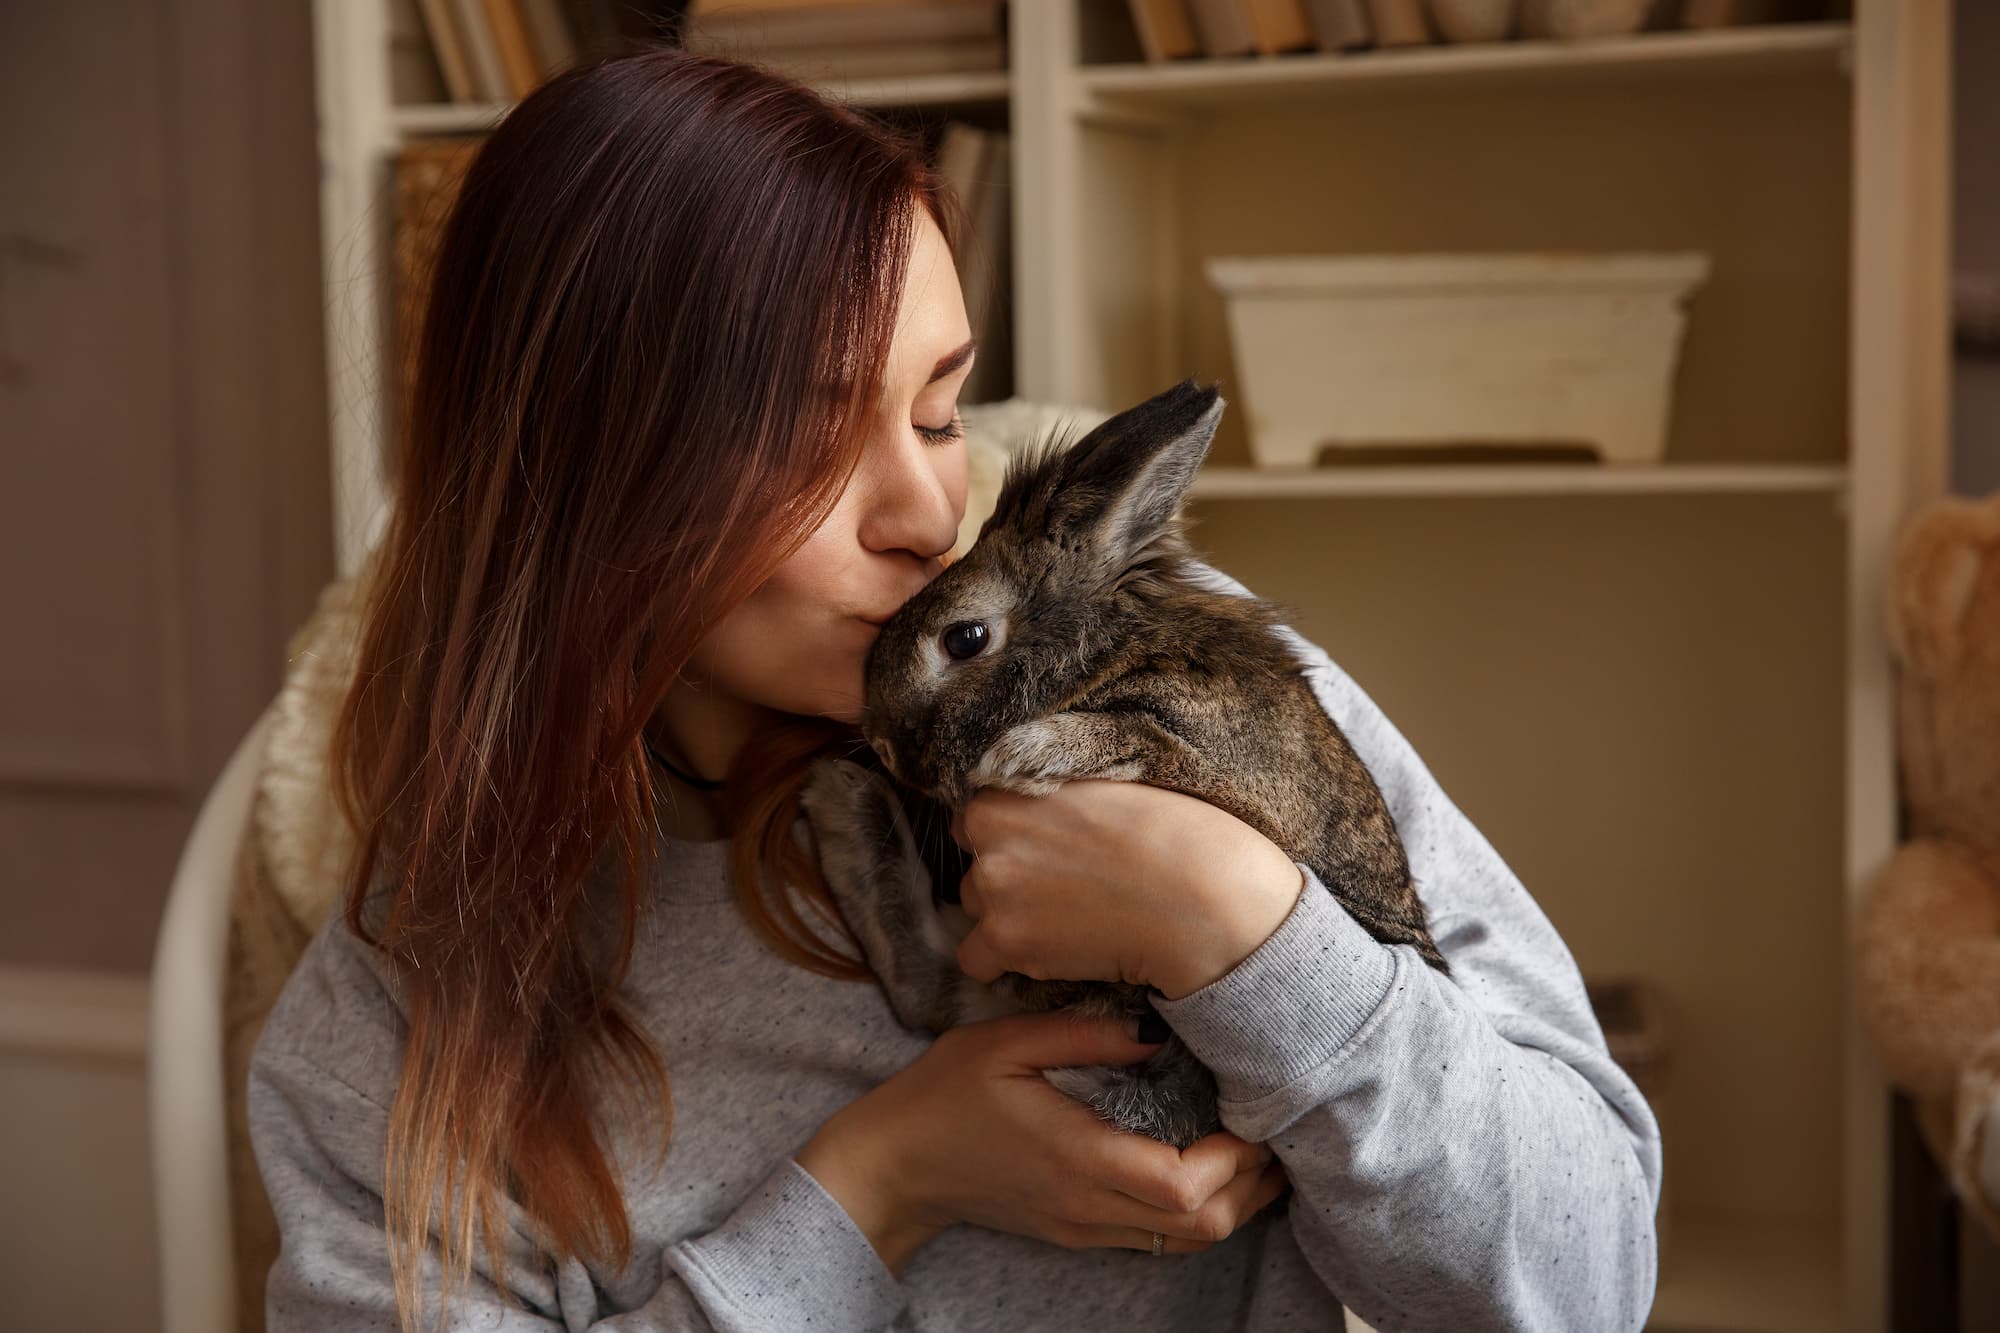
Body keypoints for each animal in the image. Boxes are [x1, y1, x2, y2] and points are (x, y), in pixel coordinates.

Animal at [799, 378, 1449, 1149]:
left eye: (965, 638)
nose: (882, 743)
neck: (1098, 655)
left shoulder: (1237, 784)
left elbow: (1143, 741)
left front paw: (1024, 754)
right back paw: (844, 802)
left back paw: (843, 799)